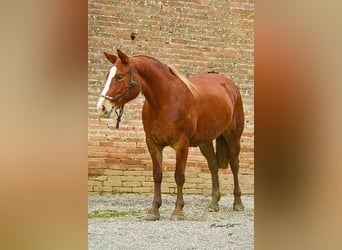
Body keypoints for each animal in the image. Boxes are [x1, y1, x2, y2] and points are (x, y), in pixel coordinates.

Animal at [97, 49, 246, 221]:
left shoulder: (181, 145)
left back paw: (238, 203)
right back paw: (214, 204)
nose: (102, 107)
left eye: (120, 76)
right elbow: (157, 175)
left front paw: (178, 211)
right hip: (205, 141)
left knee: (235, 165)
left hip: (233, 137)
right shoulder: (153, 144)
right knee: (213, 166)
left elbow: (179, 176)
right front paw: (154, 210)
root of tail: (230, 86)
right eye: (107, 76)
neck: (166, 100)